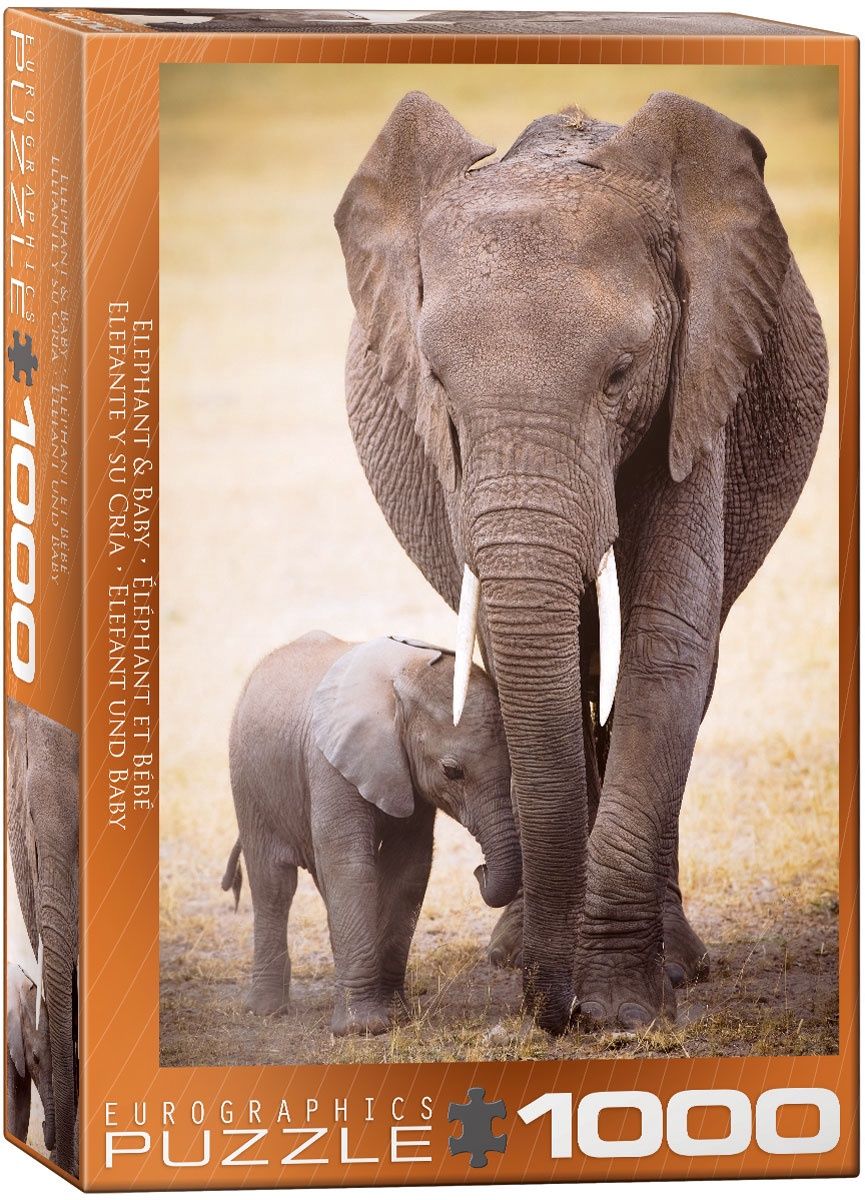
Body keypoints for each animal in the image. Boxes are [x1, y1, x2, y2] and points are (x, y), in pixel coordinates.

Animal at [222, 631, 520, 1035]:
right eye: (452, 771)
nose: (481, 870)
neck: (401, 681)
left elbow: (409, 869)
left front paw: (395, 1015)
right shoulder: (329, 763)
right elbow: (350, 866)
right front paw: (362, 1029)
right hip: (248, 783)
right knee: (273, 884)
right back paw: (267, 1011)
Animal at [335, 91, 828, 1033]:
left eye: (620, 373)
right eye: (437, 382)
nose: (548, 1009)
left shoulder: (699, 380)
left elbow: (666, 642)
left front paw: (622, 1009)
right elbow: (531, 651)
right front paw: (565, 982)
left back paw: (676, 963)